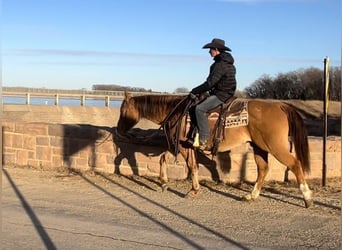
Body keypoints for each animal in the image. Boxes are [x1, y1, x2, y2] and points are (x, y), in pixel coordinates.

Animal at [117, 92, 312, 207]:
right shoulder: (181, 146)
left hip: (275, 146)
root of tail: (280, 105)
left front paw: (193, 190)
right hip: (259, 146)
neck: (176, 111)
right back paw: (251, 196)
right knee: (263, 168)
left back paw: (307, 198)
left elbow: (191, 167)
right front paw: (164, 182)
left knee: (295, 164)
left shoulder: (182, 146)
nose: (118, 129)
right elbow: (164, 158)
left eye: (122, 110)